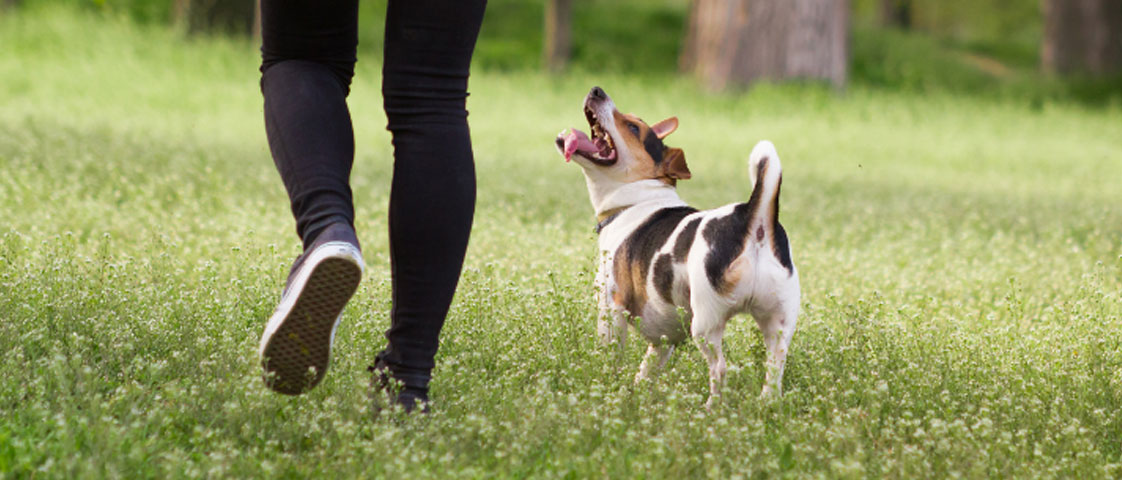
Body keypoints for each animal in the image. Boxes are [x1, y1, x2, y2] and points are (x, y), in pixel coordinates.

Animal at [552, 85, 798, 405]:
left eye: (633, 127)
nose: (597, 90)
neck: (636, 200)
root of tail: (751, 218)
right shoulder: (665, 335)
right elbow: (647, 368)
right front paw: (636, 392)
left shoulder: (610, 307)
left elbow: (609, 356)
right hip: (778, 324)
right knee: (775, 368)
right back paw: (766, 403)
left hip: (706, 323)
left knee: (719, 368)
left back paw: (711, 407)